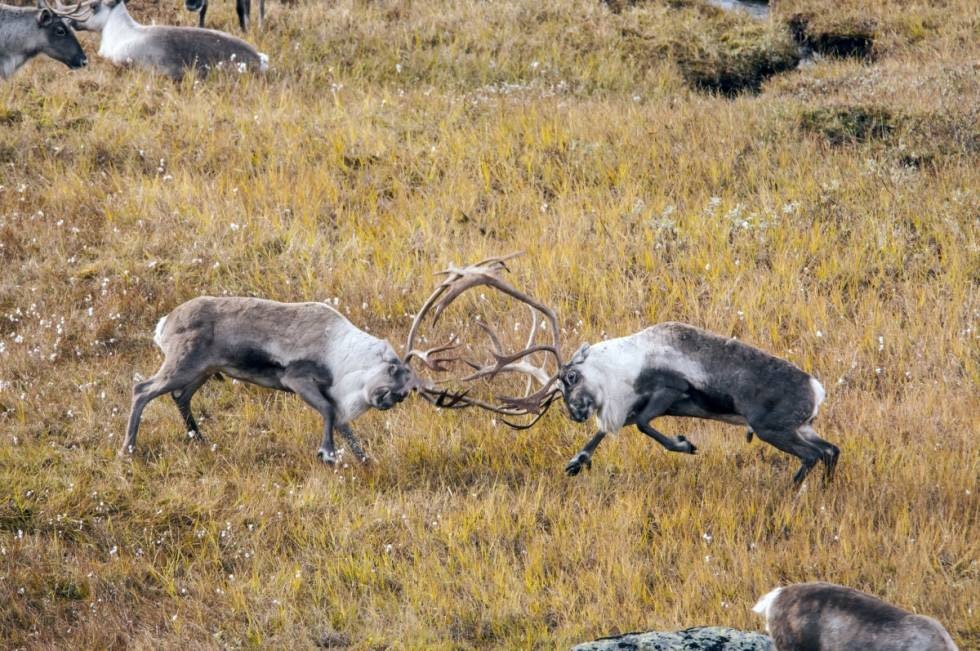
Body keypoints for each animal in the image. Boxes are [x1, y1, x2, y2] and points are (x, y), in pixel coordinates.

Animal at [121, 296, 460, 464]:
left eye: (405, 393)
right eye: (392, 369)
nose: (384, 400)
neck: (342, 354)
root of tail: (163, 324)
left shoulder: (330, 394)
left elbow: (343, 424)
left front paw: (365, 460)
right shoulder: (297, 378)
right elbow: (329, 413)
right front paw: (327, 454)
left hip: (202, 370)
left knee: (179, 396)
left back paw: (199, 439)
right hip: (183, 364)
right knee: (142, 389)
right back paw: (128, 449)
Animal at [406, 255, 844, 484]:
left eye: (570, 378)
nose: (574, 413)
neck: (623, 363)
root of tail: (817, 389)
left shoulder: (669, 390)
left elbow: (643, 424)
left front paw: (684, 444)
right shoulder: (627, 403)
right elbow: (615, 428)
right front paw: (577, 460)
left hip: (773, 428)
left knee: (813, 455)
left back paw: (793, 490)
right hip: (799, 427)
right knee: (831, 450)